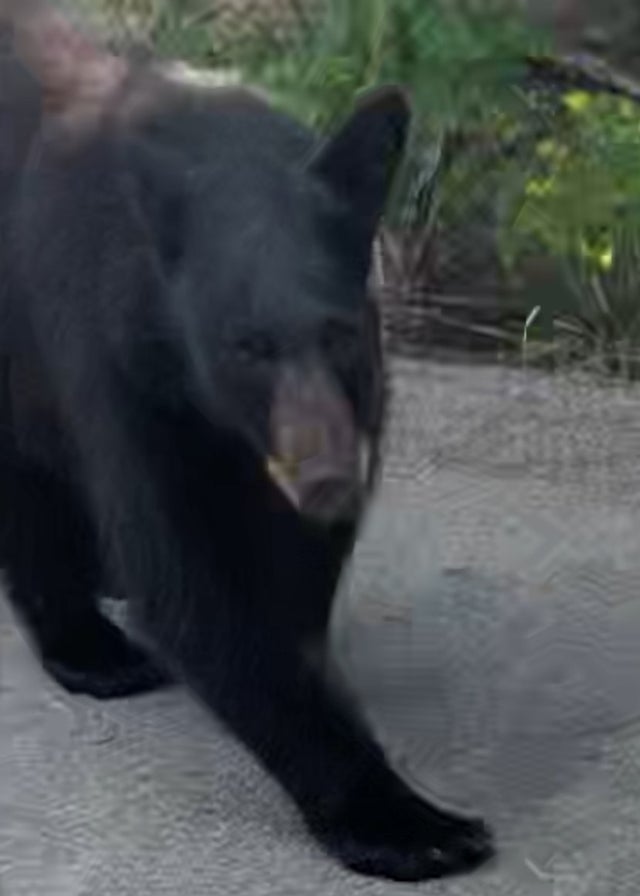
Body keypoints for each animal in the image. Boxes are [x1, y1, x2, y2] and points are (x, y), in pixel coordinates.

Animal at [0, 2, 493, 882]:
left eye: (338, 333)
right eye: (245, 347)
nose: (329, 482)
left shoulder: (351, 400)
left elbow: (287, 564)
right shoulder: (113, 353)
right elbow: (197, 578)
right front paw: (412, 822)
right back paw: (93, 648)